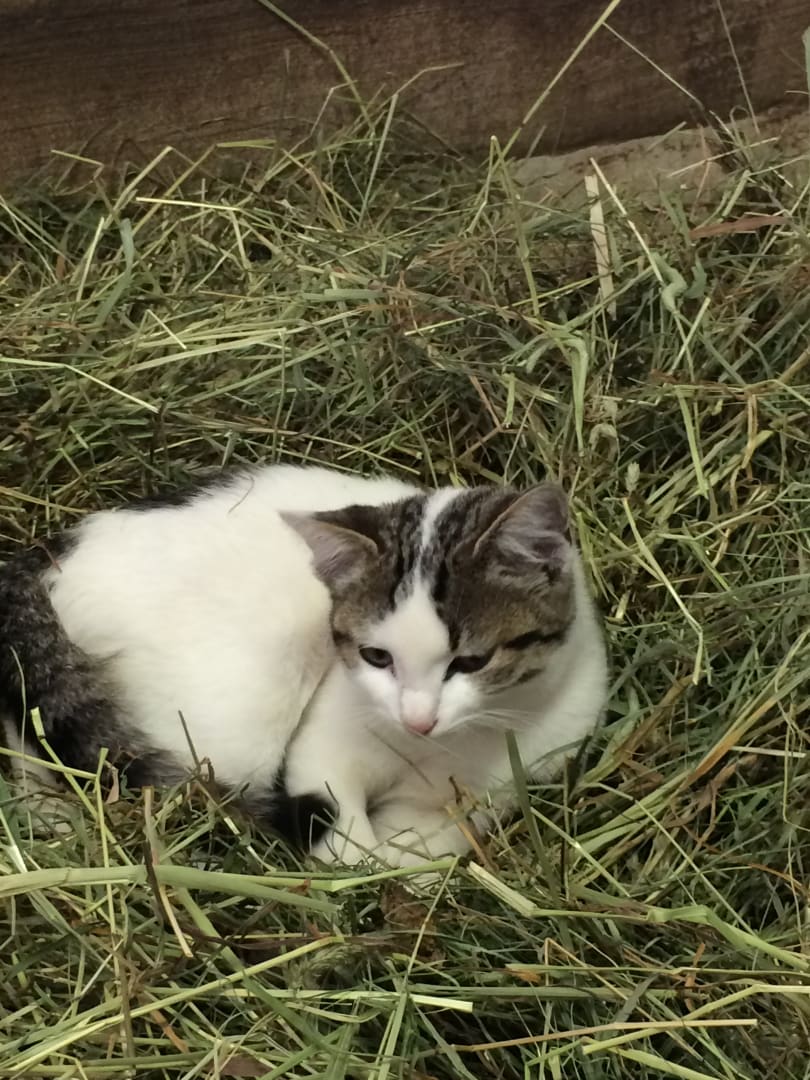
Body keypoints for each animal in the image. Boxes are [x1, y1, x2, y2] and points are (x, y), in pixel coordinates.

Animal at [0, 464, 607, 865]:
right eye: (376, 656)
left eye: (472, 661)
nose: (417, 720)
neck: (444, 749)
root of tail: (37, 562)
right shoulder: (324, 743)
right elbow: (343, 833)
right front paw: (355, 866)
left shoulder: (515, 777)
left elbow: (425, 850)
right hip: (230, 720)